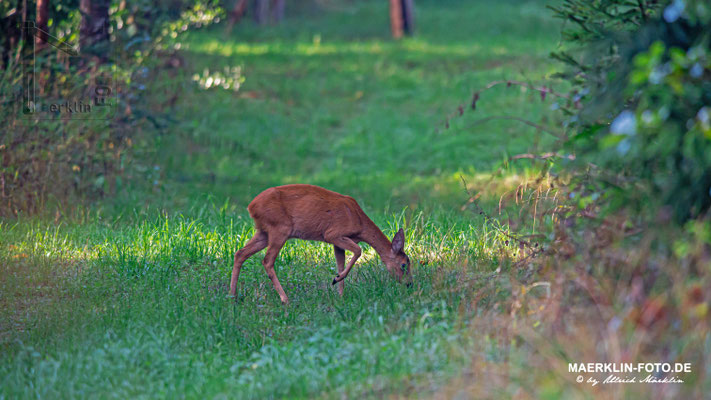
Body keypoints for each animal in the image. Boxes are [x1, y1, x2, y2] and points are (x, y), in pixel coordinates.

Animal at [232, 184, 412, 304]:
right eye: (404, 265)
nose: (409, 284)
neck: (359, 222)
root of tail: (251, 206)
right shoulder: (333, 234)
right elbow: (358, 250)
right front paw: (336, 279)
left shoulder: (337, 243)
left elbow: (341, 263)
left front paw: (340, 295)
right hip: (280, 228)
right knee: (267, 260)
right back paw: (285, 299)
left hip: (263, 232)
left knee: (240, 253)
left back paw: (232, 296)